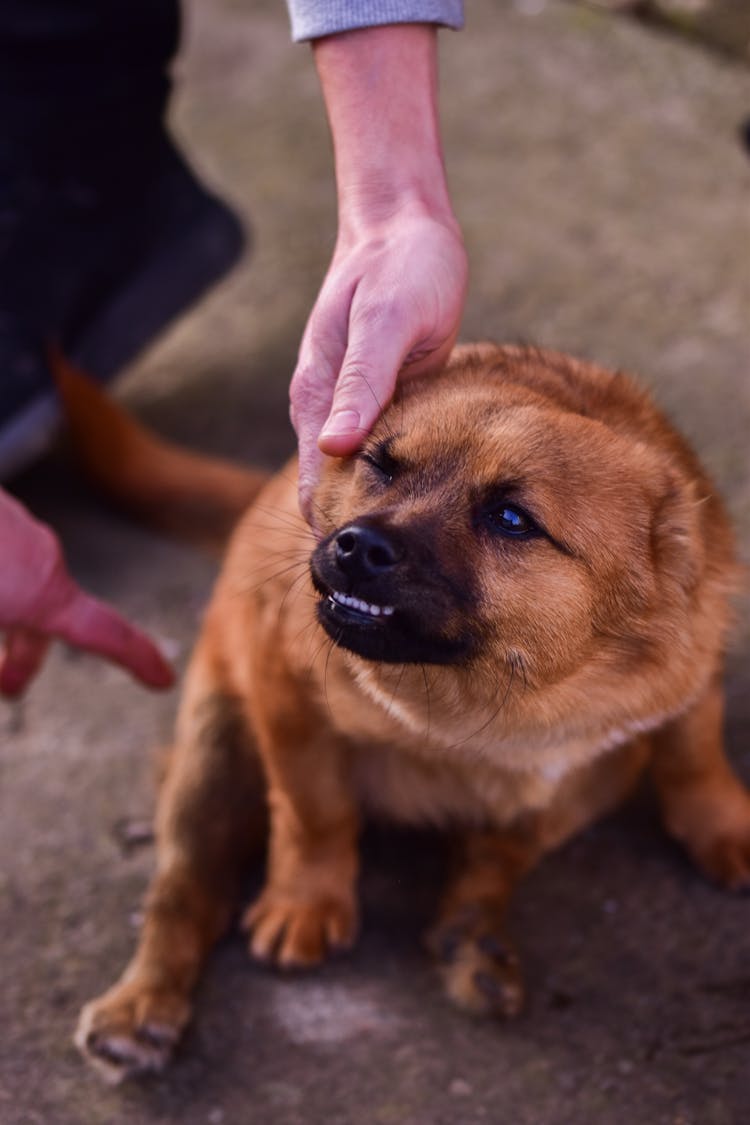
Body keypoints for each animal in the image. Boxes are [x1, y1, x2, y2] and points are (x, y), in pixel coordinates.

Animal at [70, 344, 750, 1080]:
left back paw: (471, 940)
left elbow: (695, 756)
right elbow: (315, 812)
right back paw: (139, 1006)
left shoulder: (684, 682)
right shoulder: (286, 691)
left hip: (592, 783)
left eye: (512, 518)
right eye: (381, 464)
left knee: (494, 853)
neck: (493, 696)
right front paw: (307, 898)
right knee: (183, 892)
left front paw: (724, 824)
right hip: (213, 755)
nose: (355, 546)